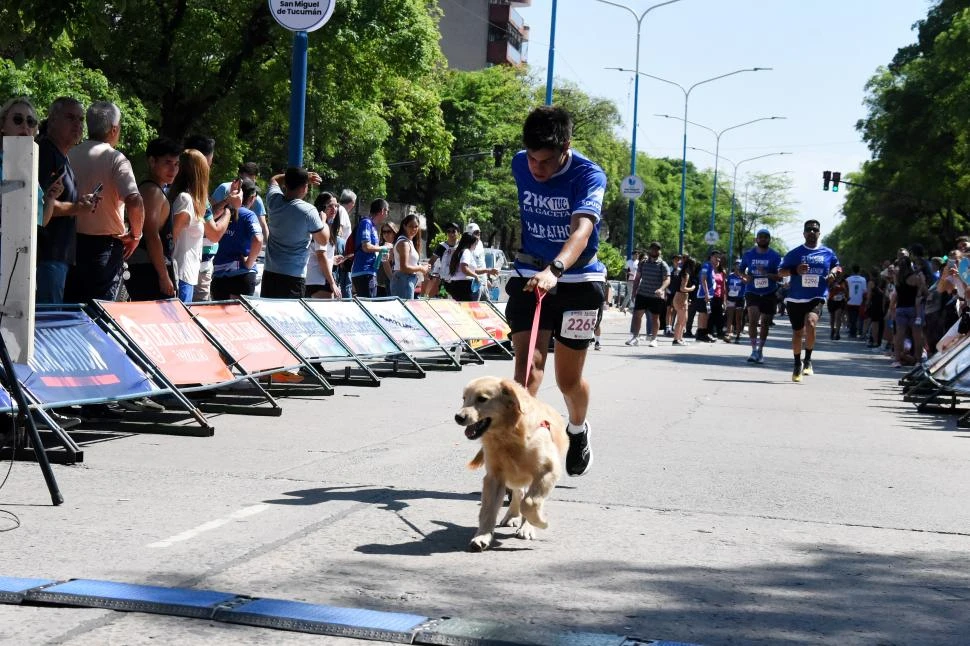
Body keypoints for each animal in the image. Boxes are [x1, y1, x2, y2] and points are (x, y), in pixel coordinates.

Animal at [454, 378, 568, 556]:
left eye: (482, 399)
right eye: (464, 398)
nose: (458, 417)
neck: (507, 436)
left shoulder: (547, 470)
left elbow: (530, 502)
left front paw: (539, 522)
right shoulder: (494, 477)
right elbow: (488, 510)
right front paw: (482, 537)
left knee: (527, 496)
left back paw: (526, 526)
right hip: (513, 477)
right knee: (518, 493)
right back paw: (512, 515)